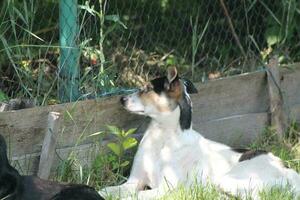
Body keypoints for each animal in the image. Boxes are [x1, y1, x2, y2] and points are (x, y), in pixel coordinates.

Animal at [100, 67, 300, 198]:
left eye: (147, 89)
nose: (121, 99)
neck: (163, 137)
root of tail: (289, 170)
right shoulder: (133, 182)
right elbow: (106, 191)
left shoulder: (166, 189)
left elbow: (135, 197)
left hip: (230, 180)